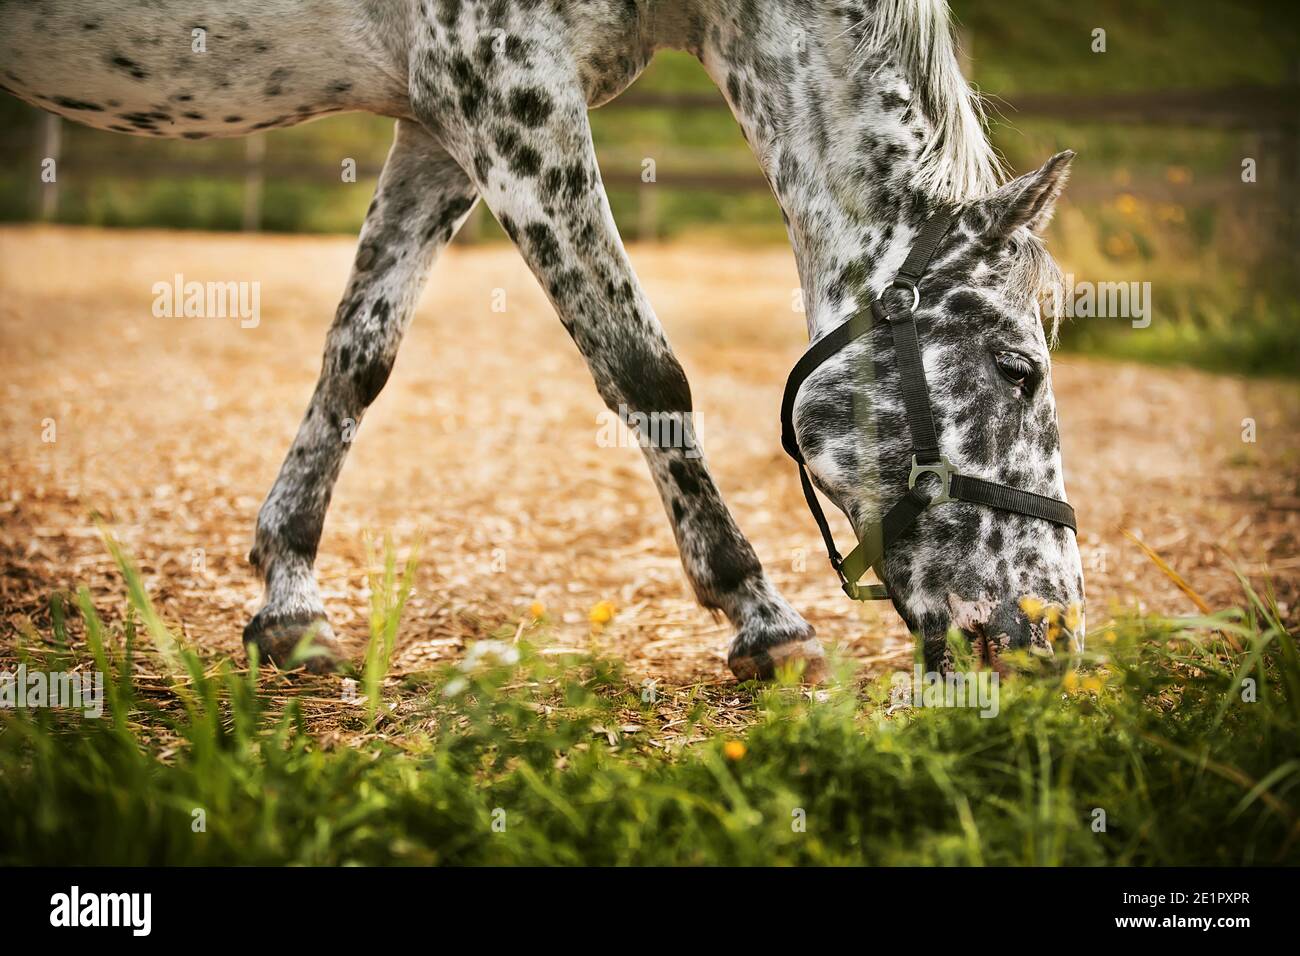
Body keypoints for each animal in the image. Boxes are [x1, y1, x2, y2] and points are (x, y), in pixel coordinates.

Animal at [2, 3, 1086, 686]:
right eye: (1017, 368)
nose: (1057, 638)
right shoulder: (507, 91)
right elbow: (642, 365)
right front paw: (761, 616)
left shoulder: (439, 122)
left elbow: (359, 357)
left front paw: (290, 601)